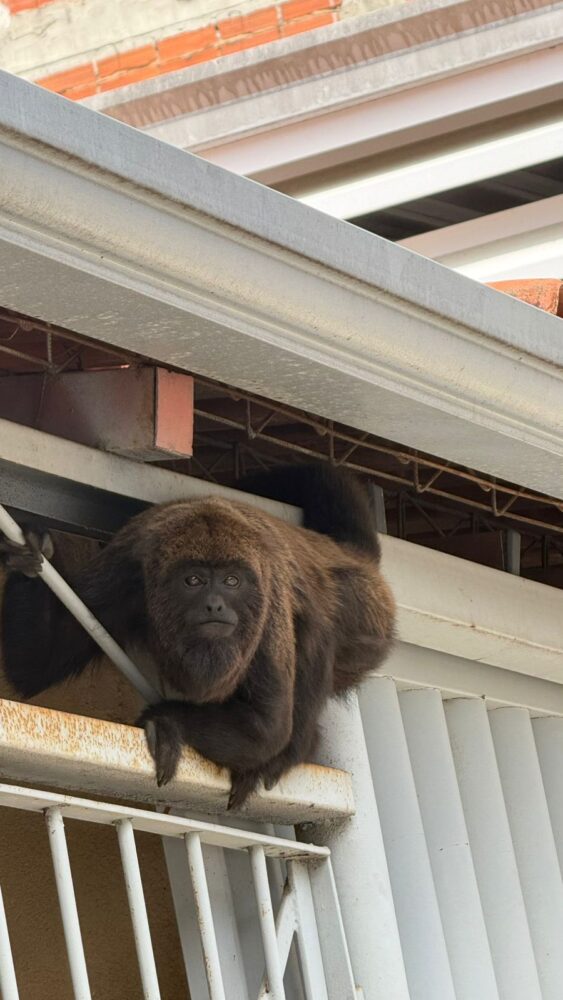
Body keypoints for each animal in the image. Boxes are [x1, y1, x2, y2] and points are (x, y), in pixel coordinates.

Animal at [0, 463, 395, 808]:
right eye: (194, 580)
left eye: (231, 581)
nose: (215, 605)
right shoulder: (119, 577)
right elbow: (35, 666)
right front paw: (28, 547)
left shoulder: (269, 604)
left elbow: (265, 729)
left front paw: (167, 721)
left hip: (363, 617)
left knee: (317, 629)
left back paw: (295, 750)